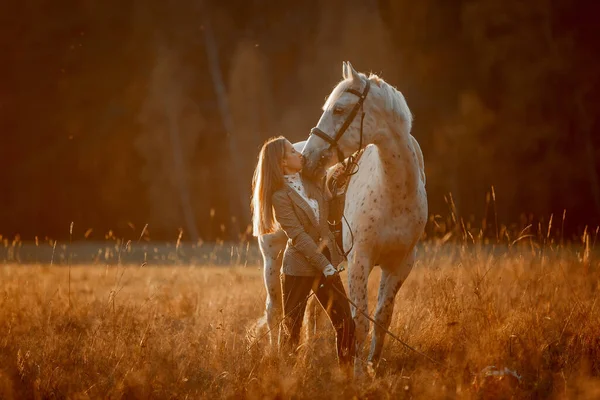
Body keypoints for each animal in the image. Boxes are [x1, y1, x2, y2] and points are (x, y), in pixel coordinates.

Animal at [300, 61, 426, 376]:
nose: (308, 158)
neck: (394, 192)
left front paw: (372, 367)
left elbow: (382, 318)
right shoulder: (360, 259)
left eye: (339, 110)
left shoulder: (401, 264)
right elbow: (360, 323)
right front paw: (357, 375)